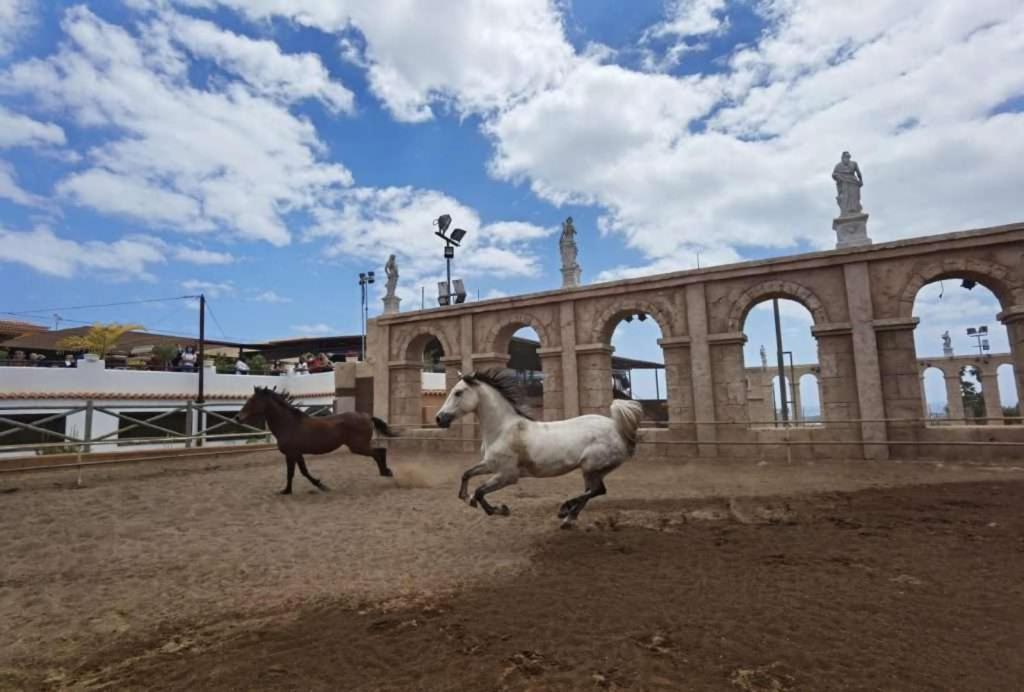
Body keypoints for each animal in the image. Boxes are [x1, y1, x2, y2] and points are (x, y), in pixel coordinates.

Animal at [240, 386, 399, 495]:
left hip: (358, 446)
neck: (288, 424)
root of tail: (367, 416)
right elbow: (296, 472)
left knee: (379, 452)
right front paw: (287, 490)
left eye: (252, 400)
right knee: (380, 451)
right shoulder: (295, 454)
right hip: (359, 446)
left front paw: (321, 486)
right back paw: (386, 472)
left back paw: (386, 472)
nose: (238, 417)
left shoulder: (292, 453)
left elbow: (298, 472)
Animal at [436, 370, 643, 528]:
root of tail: (618, 427)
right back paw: (568, 518)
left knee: (597, 490)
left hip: (591, 466)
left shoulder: (508, 475)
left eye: (458, 392)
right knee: (593, 491)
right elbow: (466, 474)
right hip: (594, 470)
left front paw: (500, 510)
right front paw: (466, 497)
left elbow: (480, 492)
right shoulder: (490, 465)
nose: (439, 419)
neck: (503, 429)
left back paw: (565, 509)